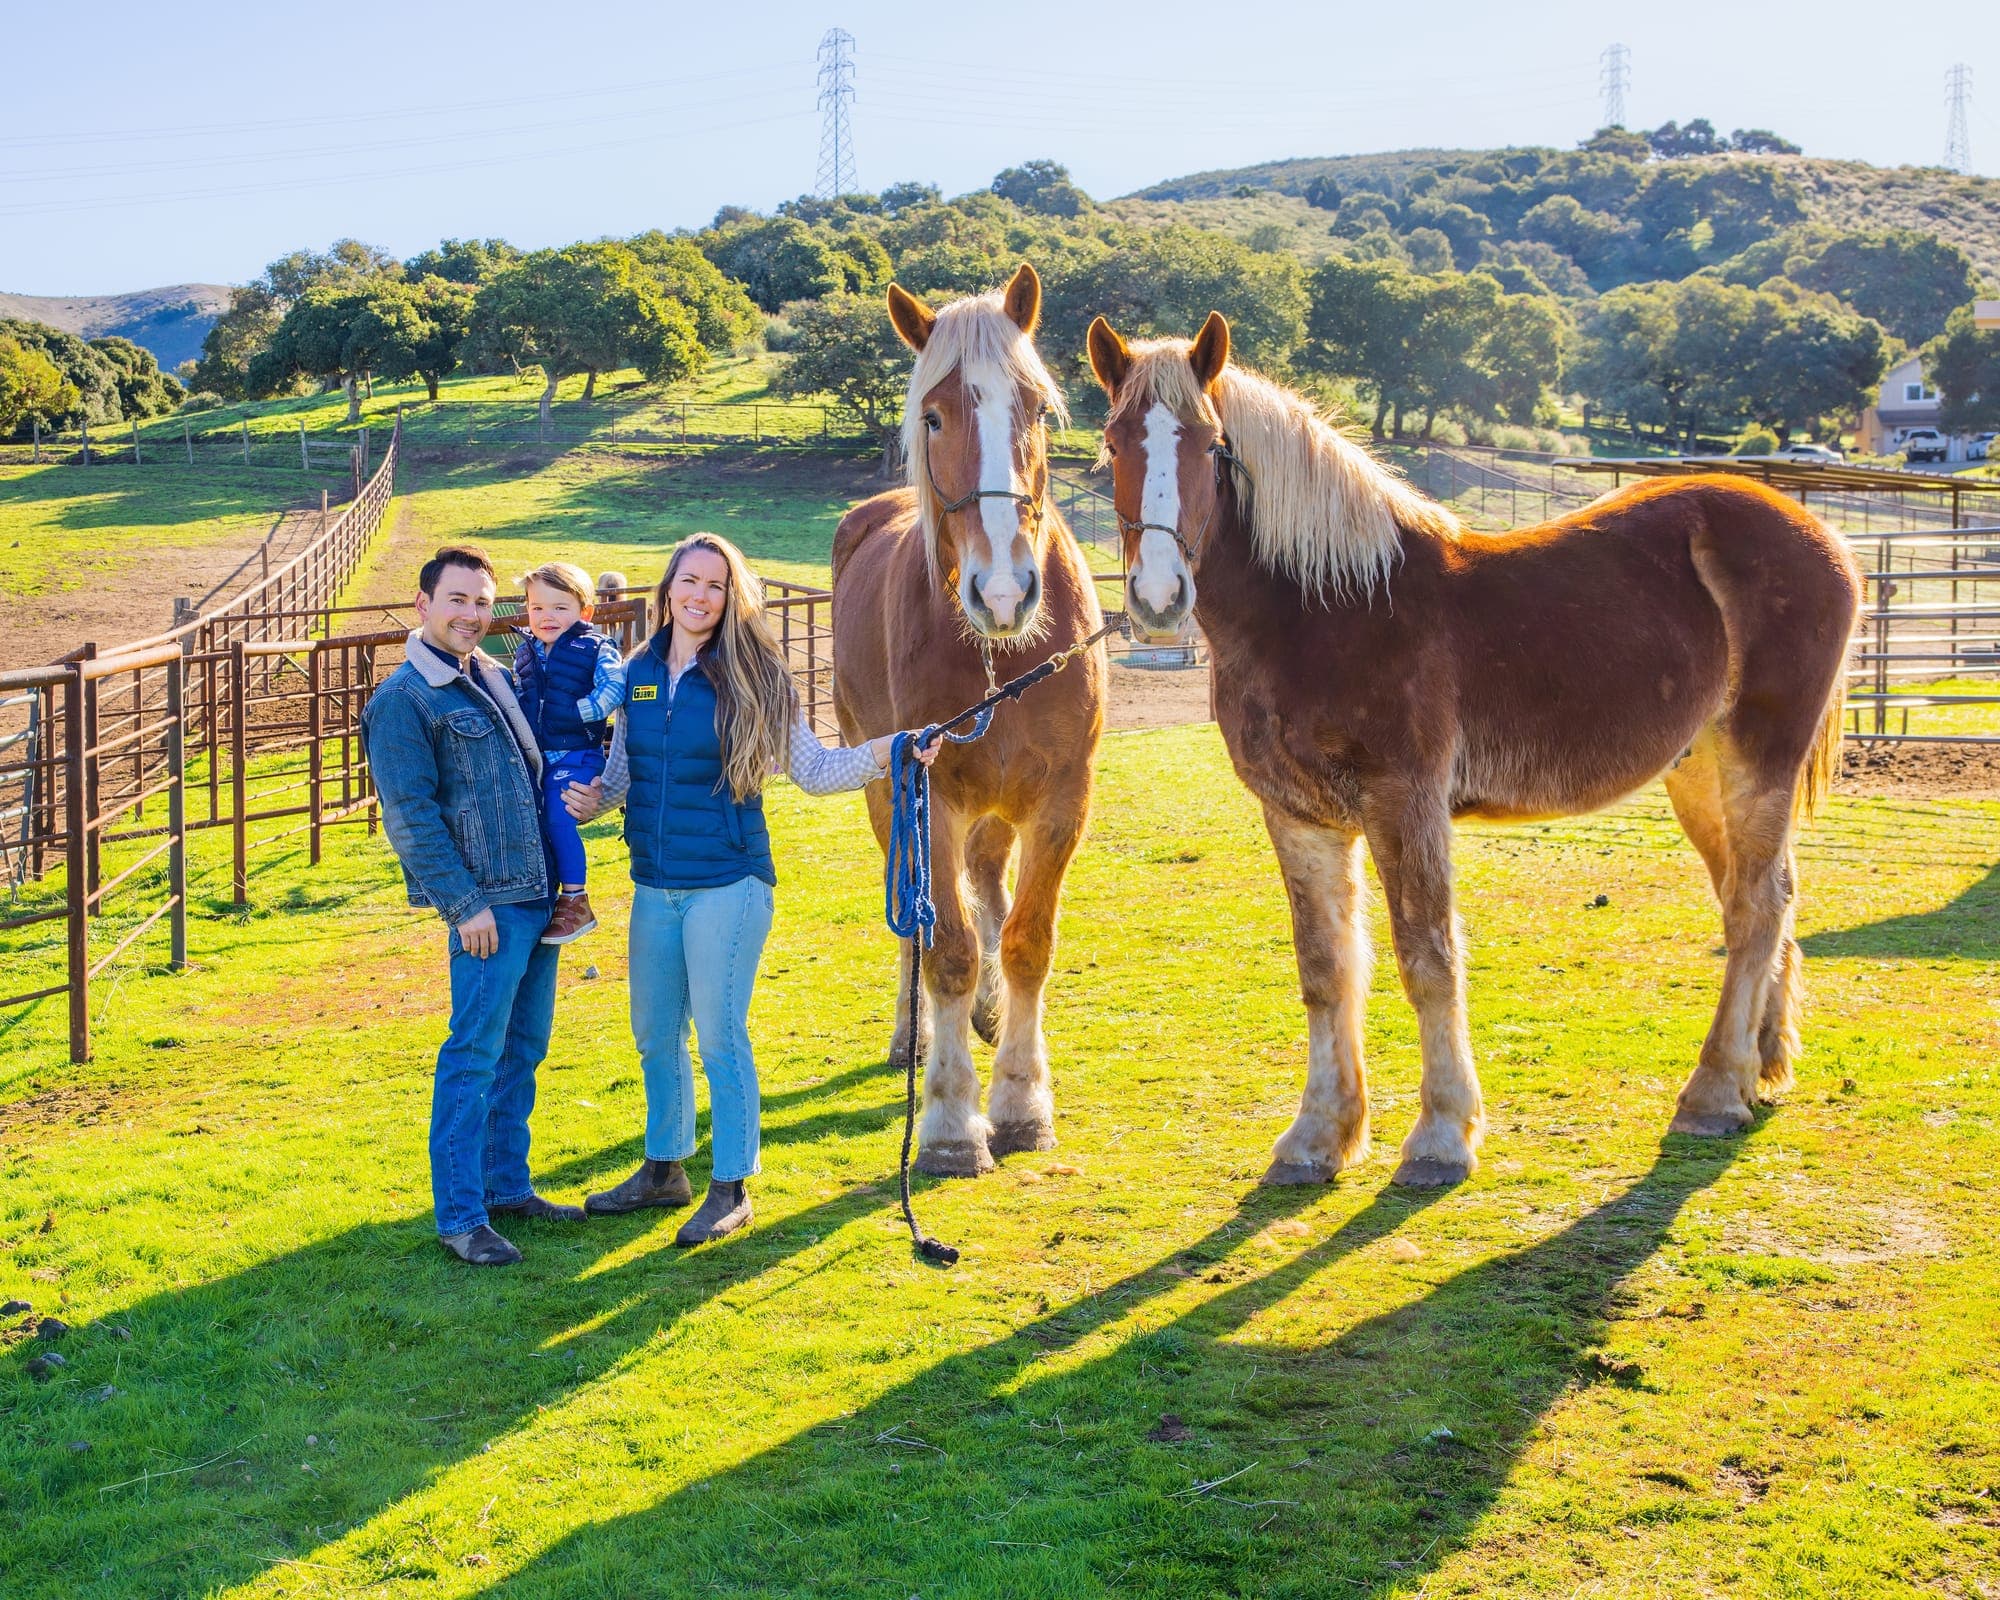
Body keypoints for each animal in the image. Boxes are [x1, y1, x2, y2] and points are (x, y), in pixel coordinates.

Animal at [832, 264, 1108, 1177]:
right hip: (886, 789)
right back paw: (913, 1037)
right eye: (933, 415)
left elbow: (1026, 940)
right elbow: (945, 946)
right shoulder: (935, 798)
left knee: (989, 889)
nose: (1003, 591)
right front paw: (953, 1121)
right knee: (920, 915)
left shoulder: (1062, 799)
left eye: (1038, 408)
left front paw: (1022, 1101)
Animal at [1085, 311, 1860, 1187]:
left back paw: (1714, 1092)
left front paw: (1441, 1134)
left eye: (1211, 443)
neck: (1324, 604)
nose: (1157, 599)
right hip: (1698, 773)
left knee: (1758, 907)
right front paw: (1318, 1134)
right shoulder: (1299, 816)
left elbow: (1428, 959)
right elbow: (1325, 969)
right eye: (1114, 442)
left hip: (1758, 758)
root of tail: (1818, 533)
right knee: (1760, 897)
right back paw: (1760, 1066)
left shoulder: (1405, 802)